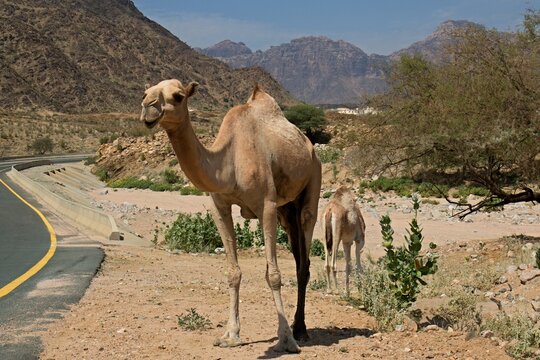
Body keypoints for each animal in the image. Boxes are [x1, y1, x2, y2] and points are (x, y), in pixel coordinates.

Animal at [141, 79, 322, 352]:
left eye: (178, 96)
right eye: (145, 92)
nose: (148, 109)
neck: (230, 162)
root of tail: (310, 146)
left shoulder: (266, 206)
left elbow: (274, 275)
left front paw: (286, 339)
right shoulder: (220, 207)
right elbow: (233, 272)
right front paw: (230, 335)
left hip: (312, 181)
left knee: (304, 260)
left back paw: (299, 330)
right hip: (286, 211)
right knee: (298, 254)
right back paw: (295, 326)